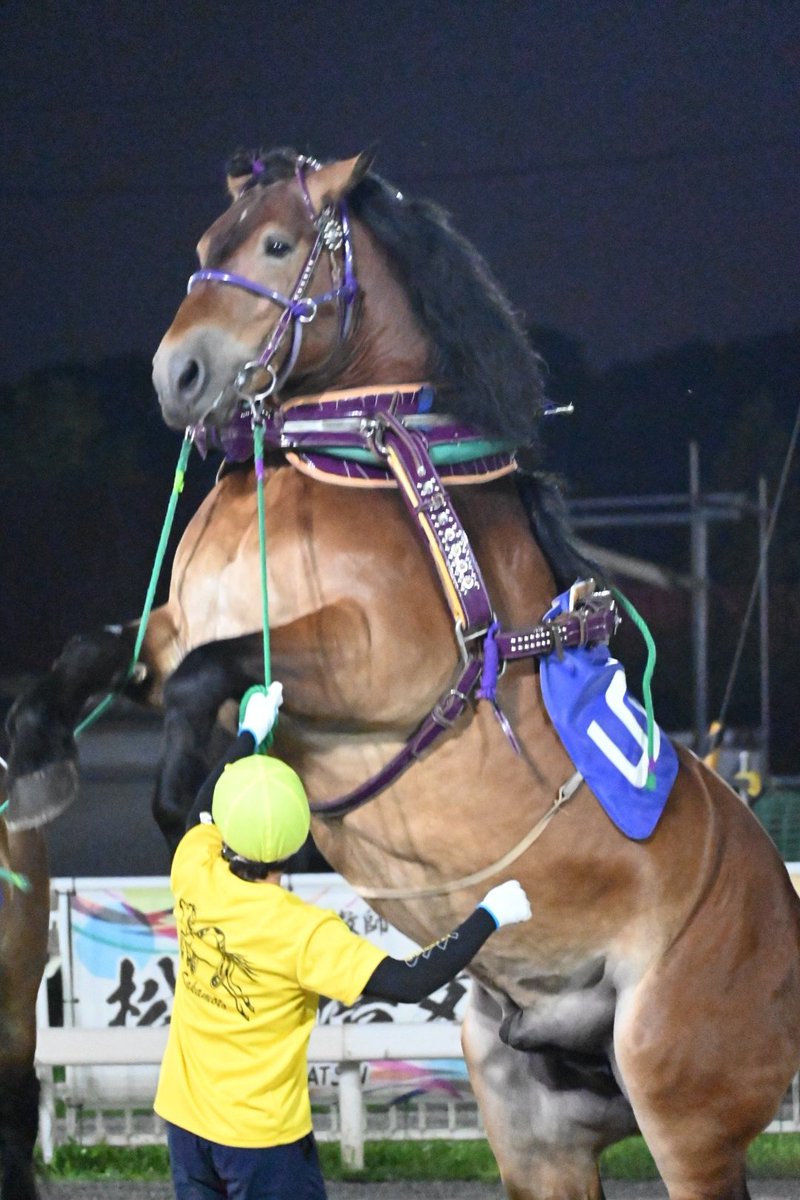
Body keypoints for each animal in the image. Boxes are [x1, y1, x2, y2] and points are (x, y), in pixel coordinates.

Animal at [6, 147, 800, 1200]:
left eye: (277, 244)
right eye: (206, 244)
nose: (179, 373)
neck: (347, 463)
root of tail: (782, 909)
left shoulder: (384, 669)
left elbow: (201, 680)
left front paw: (185, 794)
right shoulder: (180, 627)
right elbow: (98, 653)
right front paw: (36, 762)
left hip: (687, 1102)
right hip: (532, 1113)